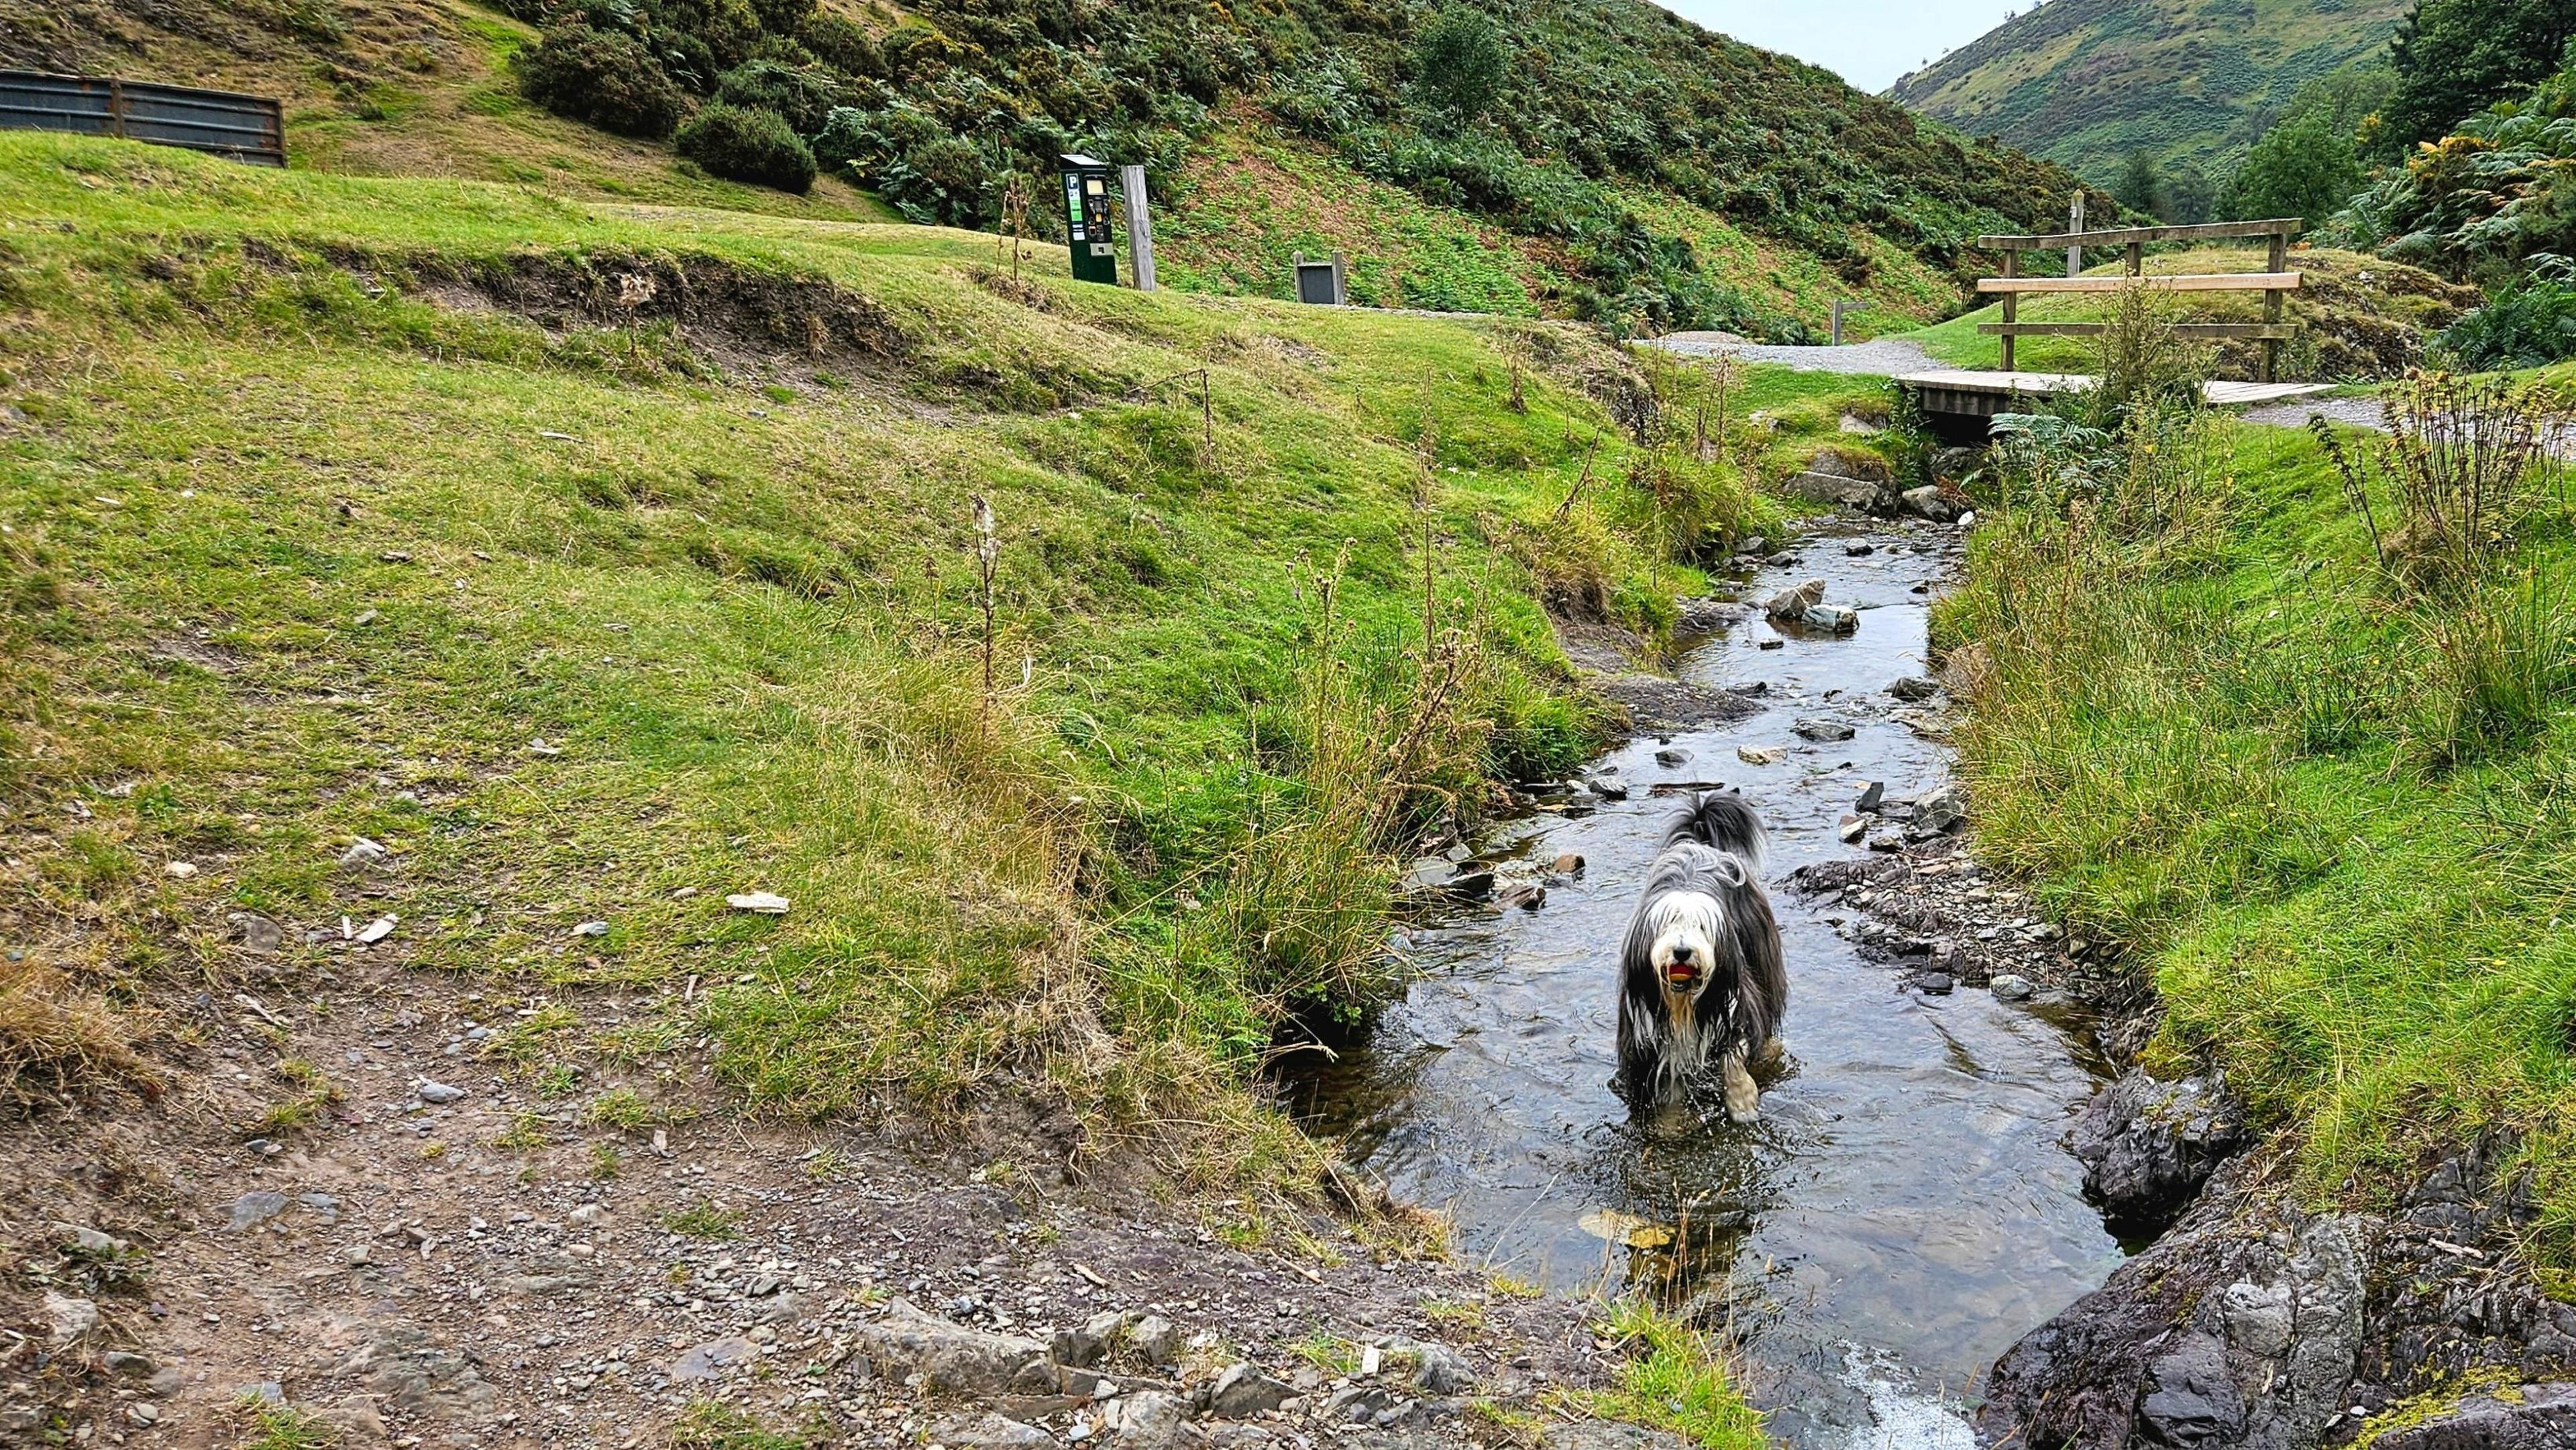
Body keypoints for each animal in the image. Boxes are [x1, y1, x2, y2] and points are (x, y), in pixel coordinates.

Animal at [1617, 793, 1782, 1123]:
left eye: (1702, 926)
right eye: (1667, 923)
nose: (1682, 952)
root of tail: (1701, 844)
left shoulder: (1733, 997)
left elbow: (1733, 1052)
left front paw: (1742, 1101)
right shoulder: (1646, 1034)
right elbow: (1667, 1083)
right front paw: (1669, 1124)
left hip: (1761, 951)